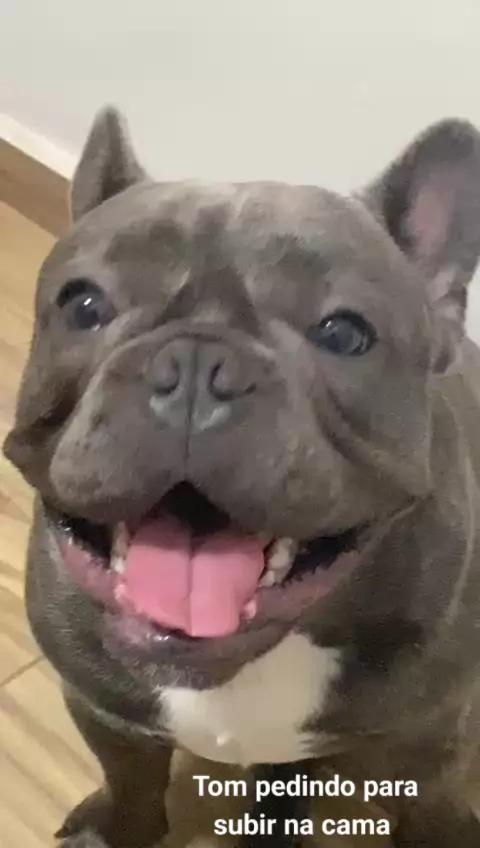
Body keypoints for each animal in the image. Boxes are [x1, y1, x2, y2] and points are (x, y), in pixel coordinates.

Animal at [4, 106, 480, 847]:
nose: (198, 364)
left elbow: (431, 810)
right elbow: (131, 788)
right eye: (83, 306)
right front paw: (115, 828)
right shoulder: (105, 716)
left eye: (345, 334)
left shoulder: (431, 747)